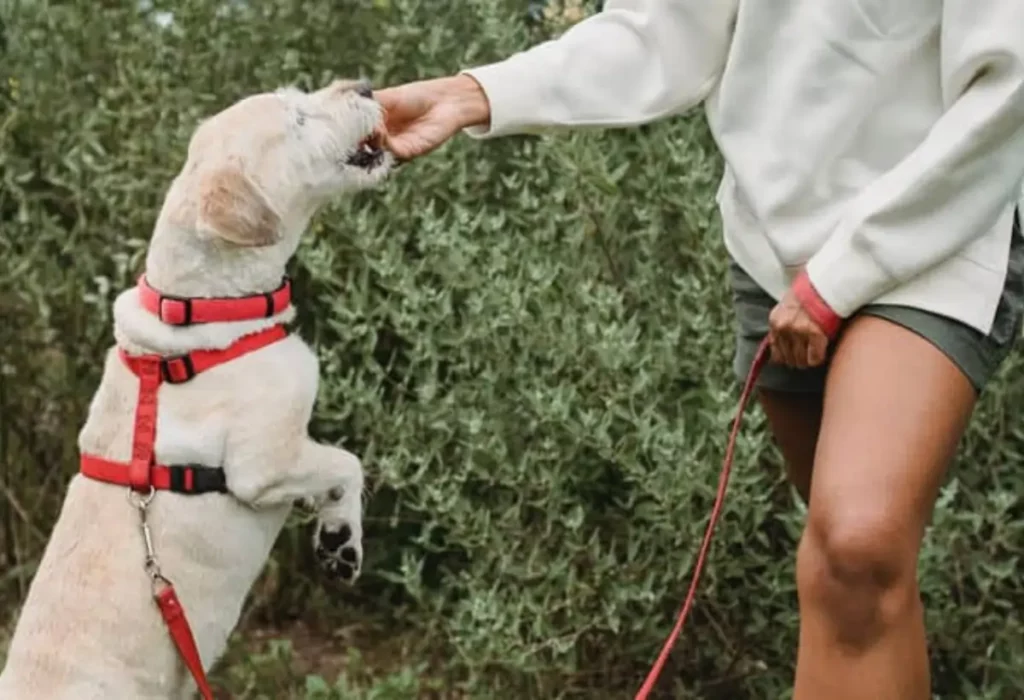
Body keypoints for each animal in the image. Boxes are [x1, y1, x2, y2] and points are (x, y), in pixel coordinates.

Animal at [0, 77, 391, 700]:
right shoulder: (262, 465)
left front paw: (336, 535)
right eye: (298, 118)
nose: (364, 85)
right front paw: (340, 539)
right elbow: (346, 462)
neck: (206, 308)